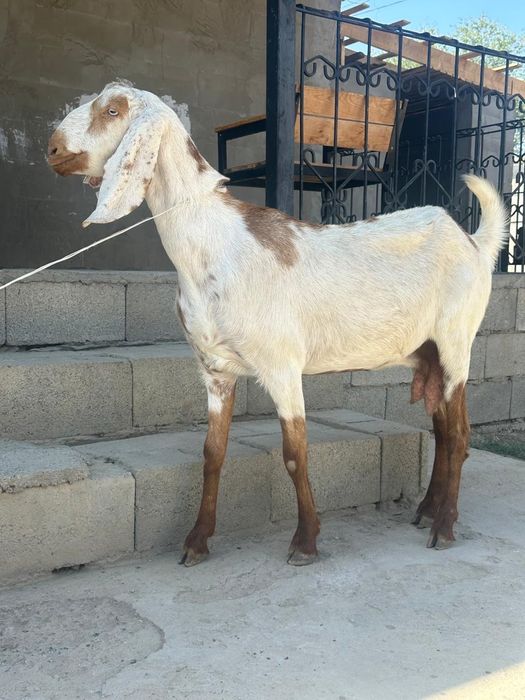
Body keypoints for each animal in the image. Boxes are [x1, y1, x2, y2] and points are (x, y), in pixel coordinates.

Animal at [48, 82, 508, 566]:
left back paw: (444, 527)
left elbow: (294, 451)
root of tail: (474, 242)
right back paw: (426, 510)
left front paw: (305, 541)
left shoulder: (282, 365)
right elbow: (212, 453)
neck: (215, 242)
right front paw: (197, 540)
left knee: (459, 435)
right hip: (428, 353)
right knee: (441, 432)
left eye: (113, 110)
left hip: (456, 341)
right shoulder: (215, 369)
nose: (53, 149)